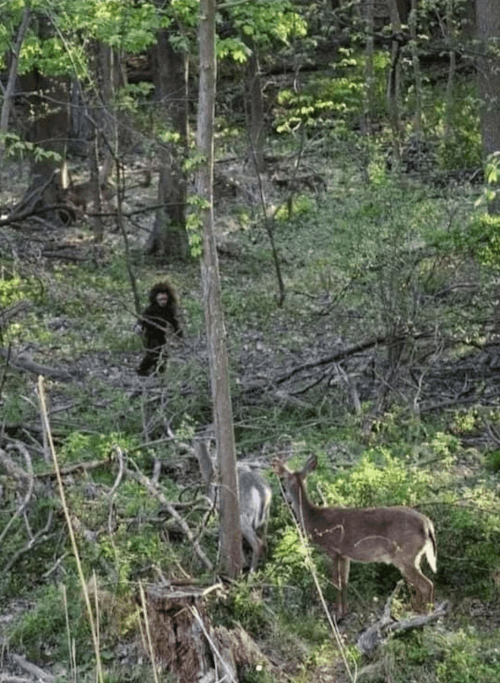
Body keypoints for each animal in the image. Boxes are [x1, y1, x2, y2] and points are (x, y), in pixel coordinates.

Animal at [195, 440, 274, 576]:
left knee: (257, 544)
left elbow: (222, 534)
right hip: (265, 518)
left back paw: (250, 574)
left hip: (244, 516)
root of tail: (264, 493)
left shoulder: (218, 509)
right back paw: (264, 566)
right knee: (264, 541)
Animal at [274, 454, 438, 620]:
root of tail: (427, 524)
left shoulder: (333, 550)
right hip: (413, 556)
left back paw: (427, 614)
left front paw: (337, 614)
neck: (315, 520)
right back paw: (418, 611)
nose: (281, 494)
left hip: (404, 555)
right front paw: (344, 612)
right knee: (419, 585)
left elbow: (336, 582)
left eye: (283, 479)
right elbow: (345, 582)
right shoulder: (345, 555)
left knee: (427, 585)